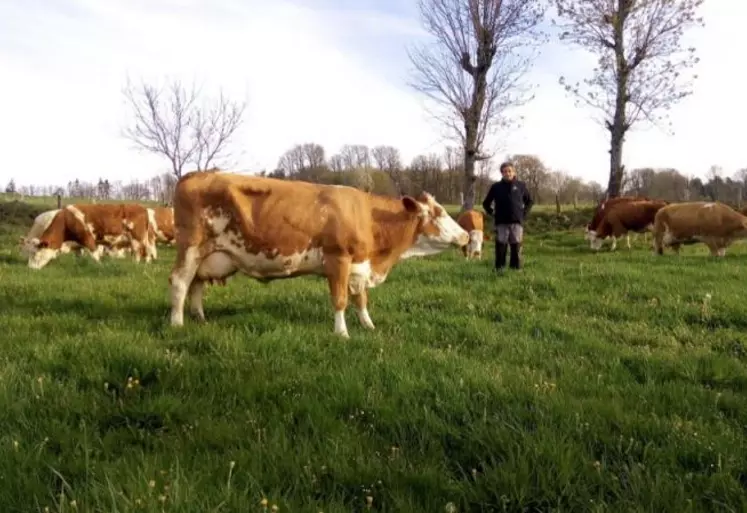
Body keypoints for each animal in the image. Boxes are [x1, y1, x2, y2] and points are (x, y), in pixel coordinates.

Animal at [24, 203, 157, 270]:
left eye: (35, 254)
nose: (30, 268)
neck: (67, 220)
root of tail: (142, 208)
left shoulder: (87, 238)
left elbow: (95, 256)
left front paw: (100, 267)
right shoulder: (78, 245)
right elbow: (78, 256)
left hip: (136, 238)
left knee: (138, 252)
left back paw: (136, 265)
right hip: (143, 238)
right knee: (148, 250)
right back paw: (147, 263)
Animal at [169, 169, 470, 336]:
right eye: (439, 214)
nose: (466, 236)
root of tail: (195, 174)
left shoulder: (359, 265)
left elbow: (361, 299)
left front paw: (369, 326)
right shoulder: (338, 259)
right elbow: (340, 300)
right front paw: (342, 333)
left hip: (208, 255)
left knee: (196, 284)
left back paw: (199, 318)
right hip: (190, 247)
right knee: (180, 282)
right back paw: (177, 323)